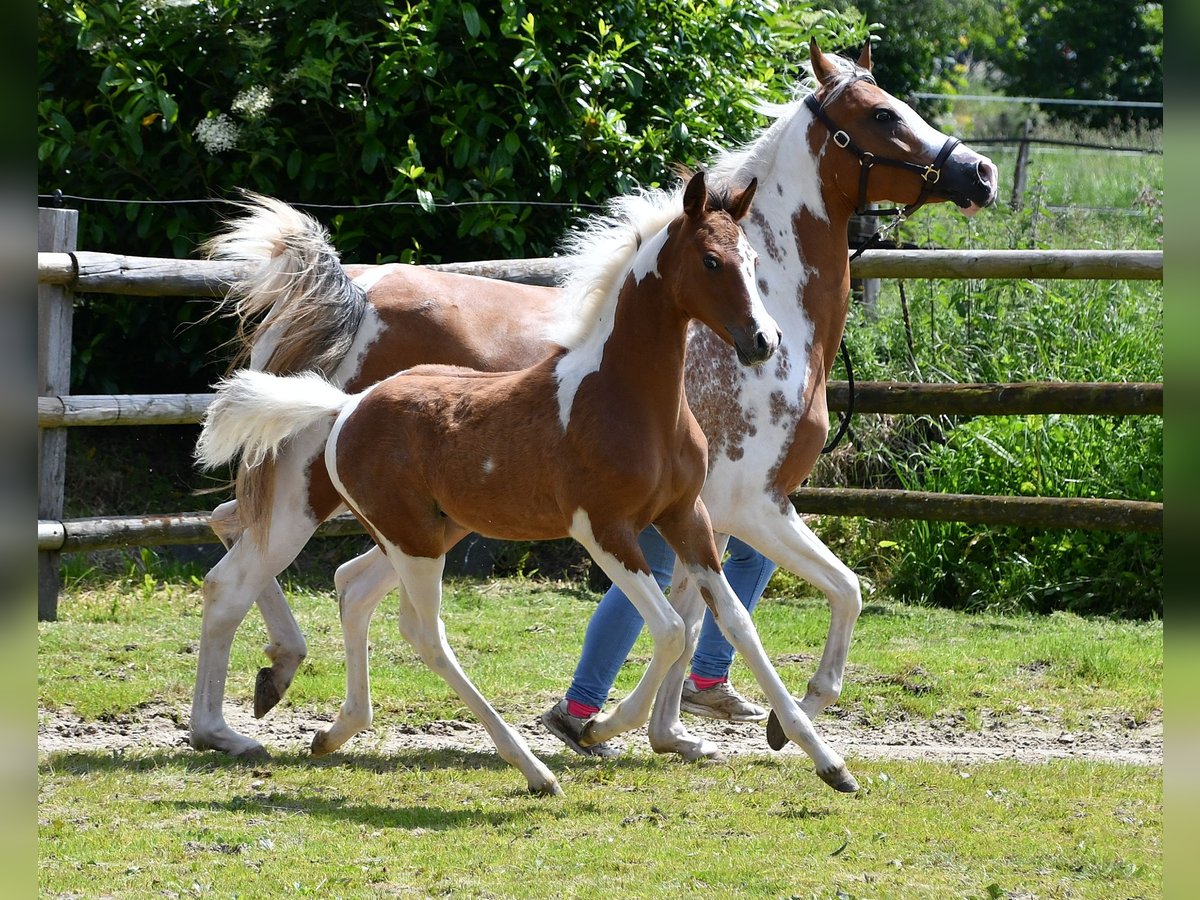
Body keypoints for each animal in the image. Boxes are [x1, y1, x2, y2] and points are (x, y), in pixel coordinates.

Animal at [192, 42, 998, 787]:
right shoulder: (747, 504)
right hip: (311, 497)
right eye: (883, 114)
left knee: (306, 566)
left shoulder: (703, 512)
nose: (980, 173)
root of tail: (337, 296)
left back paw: (289, 690)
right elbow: (787, 601)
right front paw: (641, 724)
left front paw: (686, 732)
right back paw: (227, 725)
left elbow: (720, 611)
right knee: (233, 577)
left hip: (416, 522)